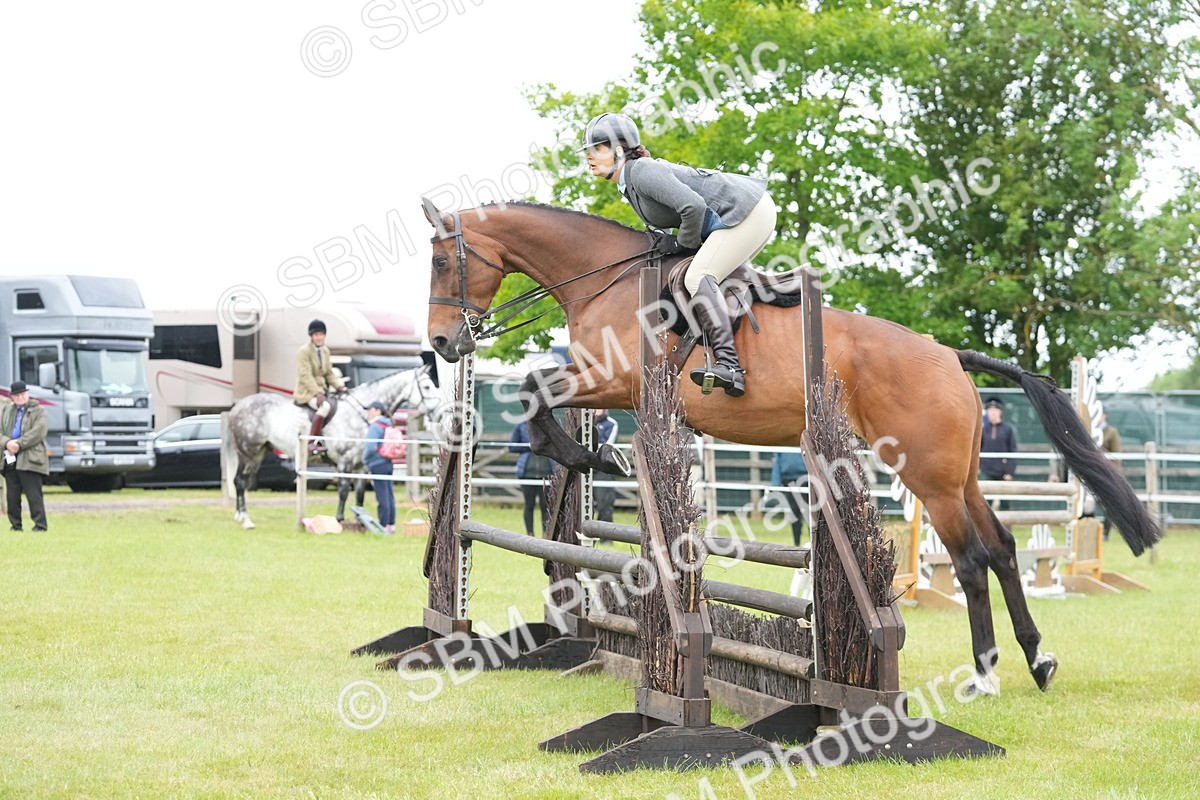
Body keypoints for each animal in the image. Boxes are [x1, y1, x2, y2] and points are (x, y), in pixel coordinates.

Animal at [224, 366, 443, 530]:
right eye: (426, 386)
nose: (439, 414)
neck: (360, 412)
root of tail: (237, 407)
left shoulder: (360, 465)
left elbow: (360, 493)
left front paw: (359, 520)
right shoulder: (345, 461)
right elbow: (344, 490)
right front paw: (339, 520)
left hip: (258, 453)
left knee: (241, 481)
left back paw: (240, 516)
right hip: (248, 452)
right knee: (240, 482)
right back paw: (246, 520)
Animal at [421, 197, 1160, 696]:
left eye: (440, 259)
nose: (441, 345)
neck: (605, 277)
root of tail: (950, 355)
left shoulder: (613, 379)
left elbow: (531, 390)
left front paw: (590, 457)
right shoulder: (601, 384)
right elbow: (538, 393)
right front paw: (590, 461)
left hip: (929, 478)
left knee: (973, 561)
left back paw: (984, 675)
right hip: (962, 476)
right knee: (1004, 550)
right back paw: (1037, 660)